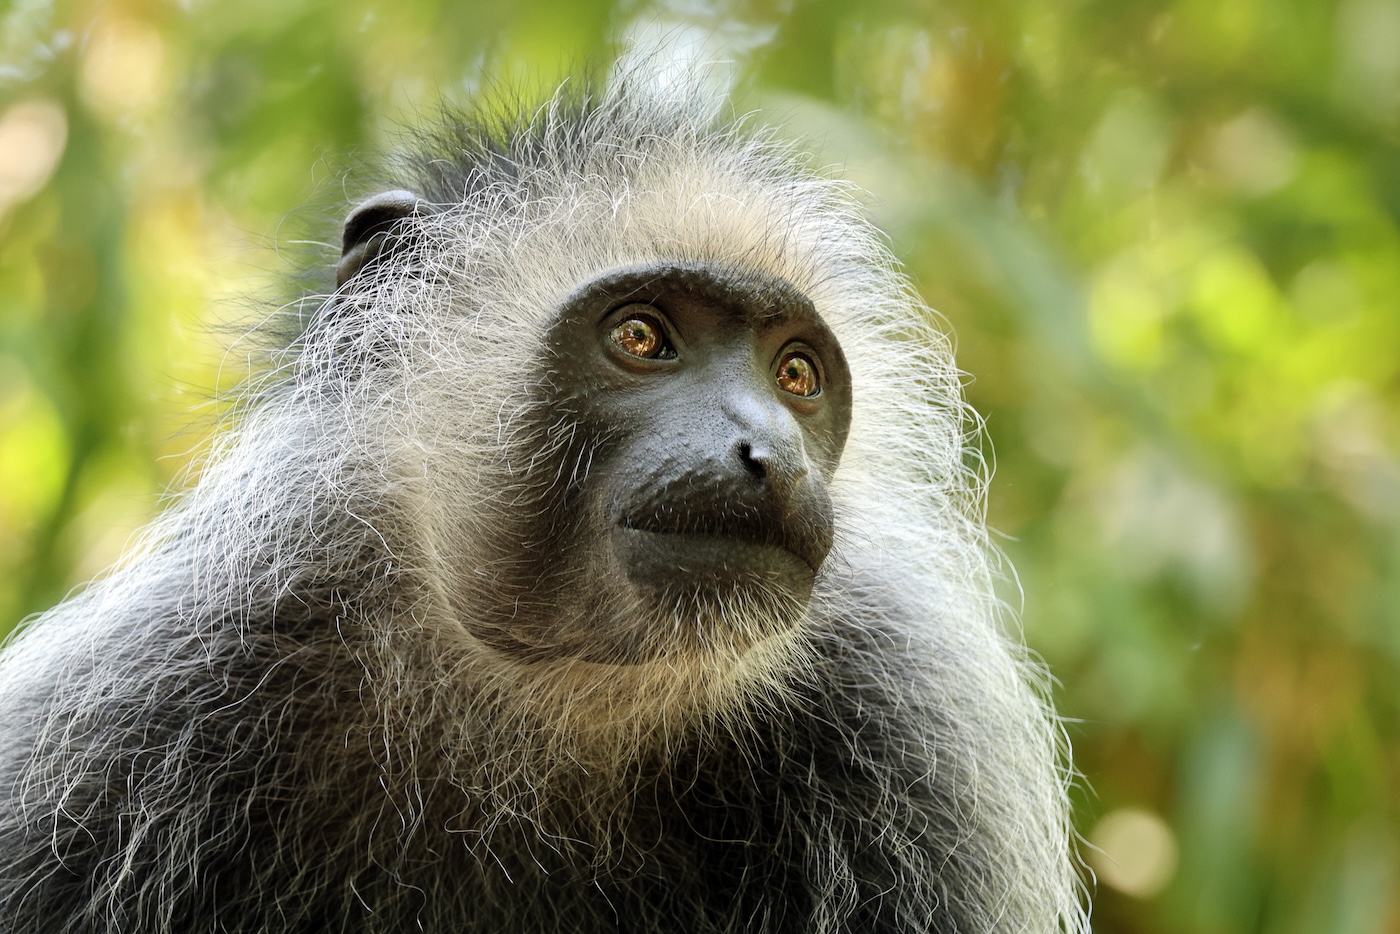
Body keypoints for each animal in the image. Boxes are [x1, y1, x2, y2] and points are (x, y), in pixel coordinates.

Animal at [0, 69, 1086, 929]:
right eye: (642, 337)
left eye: (795, 376)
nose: (773, 453)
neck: (545, 707)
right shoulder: (118, 727)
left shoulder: (918, 746)